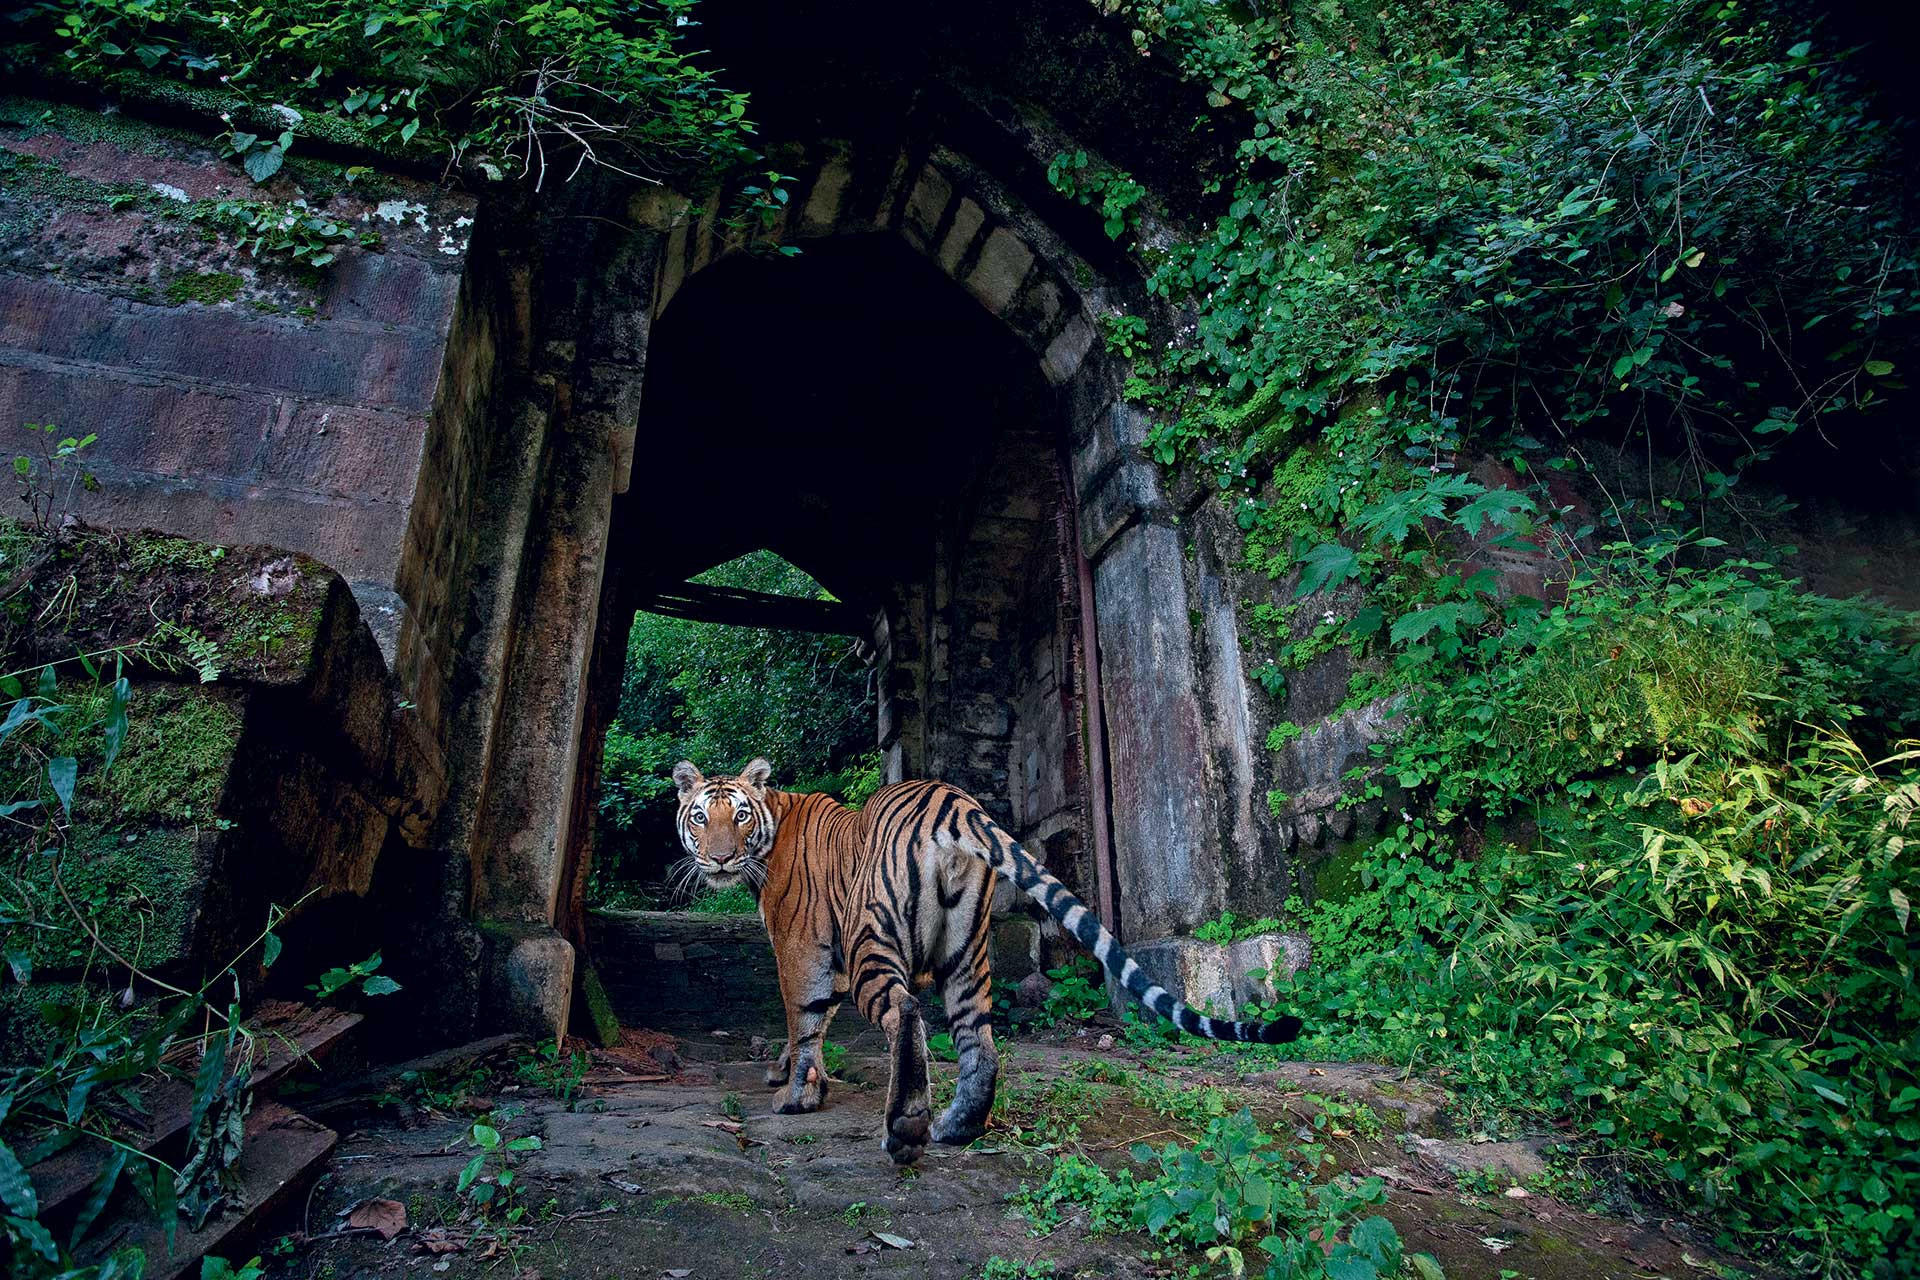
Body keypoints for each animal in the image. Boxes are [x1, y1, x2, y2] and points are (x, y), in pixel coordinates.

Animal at [672, 758, 1304, 1164]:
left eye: (739, 816)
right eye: (701, 818)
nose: (720, 859)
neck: (772, 825)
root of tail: (953, 804)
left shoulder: (802, 949)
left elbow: (803, 1020)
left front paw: (797, 1095)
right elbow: (818, 1022)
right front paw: (792, 1074)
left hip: (875, 934)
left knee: (906, 1013)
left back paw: (906, 1128)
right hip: (966, 952)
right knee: (980, 1040)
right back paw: (957, 1126)